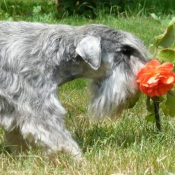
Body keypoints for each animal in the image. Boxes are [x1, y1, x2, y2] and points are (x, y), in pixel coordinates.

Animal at [0, 21, 148, 159]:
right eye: (125, 50)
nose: (143, 72)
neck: (51, 54)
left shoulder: (14, 113)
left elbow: (17, 138)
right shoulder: (40, 106)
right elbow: (60, 139)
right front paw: (78, 160)